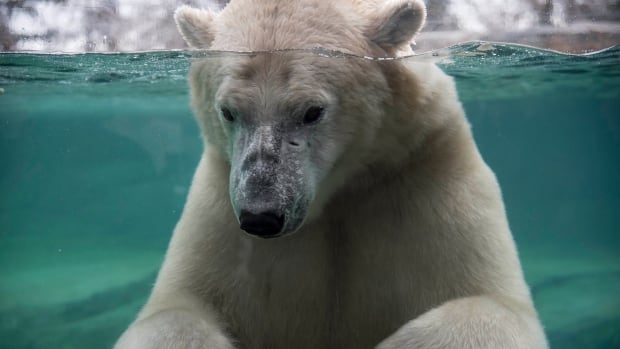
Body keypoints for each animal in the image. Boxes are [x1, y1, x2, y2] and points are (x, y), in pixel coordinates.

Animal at [115, 0, 548, 348]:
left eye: (312, 111)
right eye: (229, 111)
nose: (261, 216)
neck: (336, 192)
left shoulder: (426, 176)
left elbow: (490, 304)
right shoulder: (221, 207)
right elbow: (177, 309)